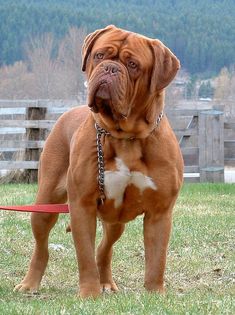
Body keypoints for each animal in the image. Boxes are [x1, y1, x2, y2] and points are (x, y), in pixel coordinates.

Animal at [14, 24, 184, 298]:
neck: (126, 136)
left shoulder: (160, 212)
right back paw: (30, 283)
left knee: (105, 247)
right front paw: (88, 294)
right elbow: (84, 255)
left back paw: (106, 282)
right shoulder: (82, 205)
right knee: (42, 246)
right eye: (99, 55)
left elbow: (157, 259)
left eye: (133, 64)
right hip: (45, 203)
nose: (110, 68)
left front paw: (155, 294)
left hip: (115, 220)